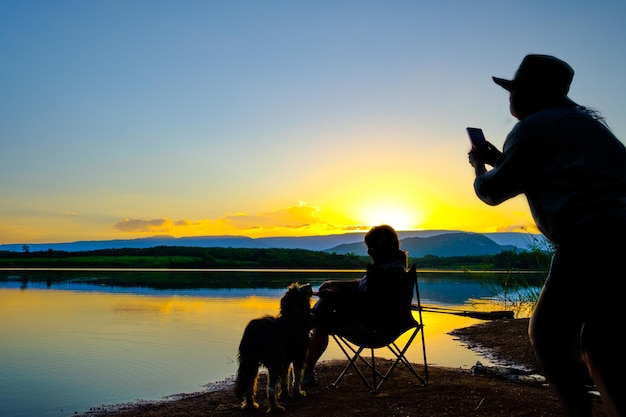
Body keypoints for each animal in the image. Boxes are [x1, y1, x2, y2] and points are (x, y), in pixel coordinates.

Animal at [234, 282, 312, 412]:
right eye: (299, 289)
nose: (309, 284)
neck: (292, 317)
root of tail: (255, 330)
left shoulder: (285, 360)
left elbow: (285, 378)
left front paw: (286, 394)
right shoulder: (298, 356)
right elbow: (297, 377)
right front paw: (298, 393)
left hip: (250, 361)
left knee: (249, 384)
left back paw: (251, 405)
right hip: (273, 361)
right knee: (270, 389)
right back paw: (276, 408)